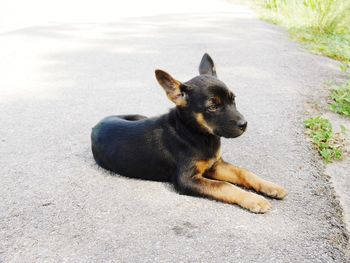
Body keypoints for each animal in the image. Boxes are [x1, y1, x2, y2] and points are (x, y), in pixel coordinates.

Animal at [91, 53, 286, 214]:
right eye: (213, 106)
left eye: (233, 99)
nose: (244, 124)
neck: (195, 133)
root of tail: (97, 124)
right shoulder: (186, 179)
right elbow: (225, 186)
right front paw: (254, 200)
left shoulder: (215, 164)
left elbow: (243, 172)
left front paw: (271, 187)